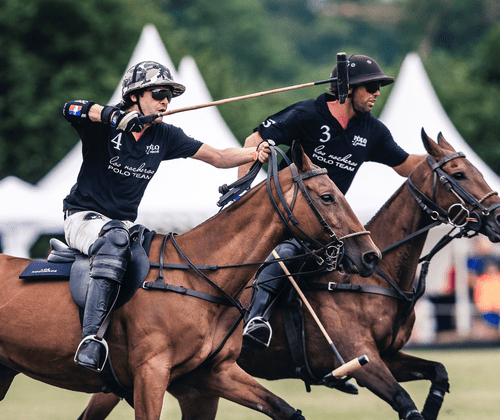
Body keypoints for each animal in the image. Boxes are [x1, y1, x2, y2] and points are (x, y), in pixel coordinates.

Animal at [0, 142, 381, 420]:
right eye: (327, 196)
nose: (370, 255)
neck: (202, 277)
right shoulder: (151, 373)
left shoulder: (211, 376)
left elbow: (286, 410)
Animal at [77, 130, 500, 420]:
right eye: (459, 174)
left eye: (477, 169)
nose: (497, 219)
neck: (373, 278)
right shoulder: (360, 357)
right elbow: (404, 402)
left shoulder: (387, 355)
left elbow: (439, 372)